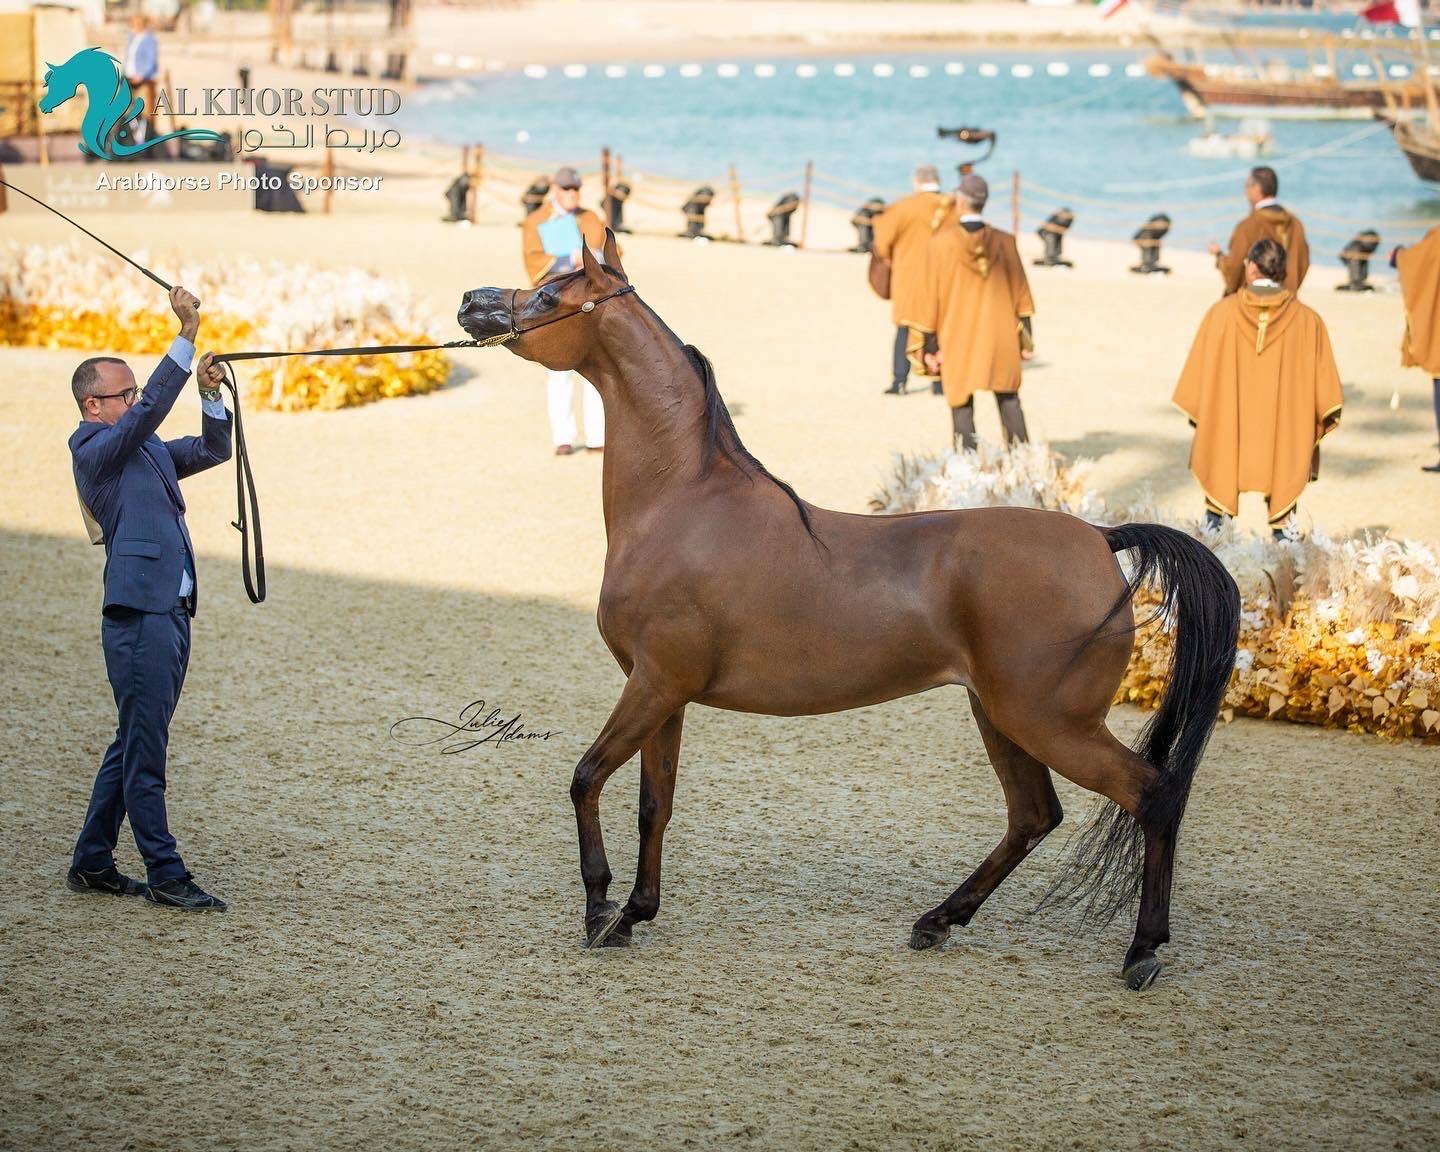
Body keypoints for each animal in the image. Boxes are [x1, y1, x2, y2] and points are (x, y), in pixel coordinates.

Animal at [457, 234, 1240, 990]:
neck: (684, 503)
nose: (472, 301)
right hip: (1003, 715)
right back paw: (938, 922)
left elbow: (586, 778)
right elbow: (656, 804)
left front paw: (598, 909)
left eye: (550, 294)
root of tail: (1101, 538)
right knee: (1034, 814)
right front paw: (632, 915)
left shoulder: (652, 685)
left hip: (1051, 723)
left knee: (1152, 796)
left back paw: (1142, 951)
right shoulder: (664, 694)